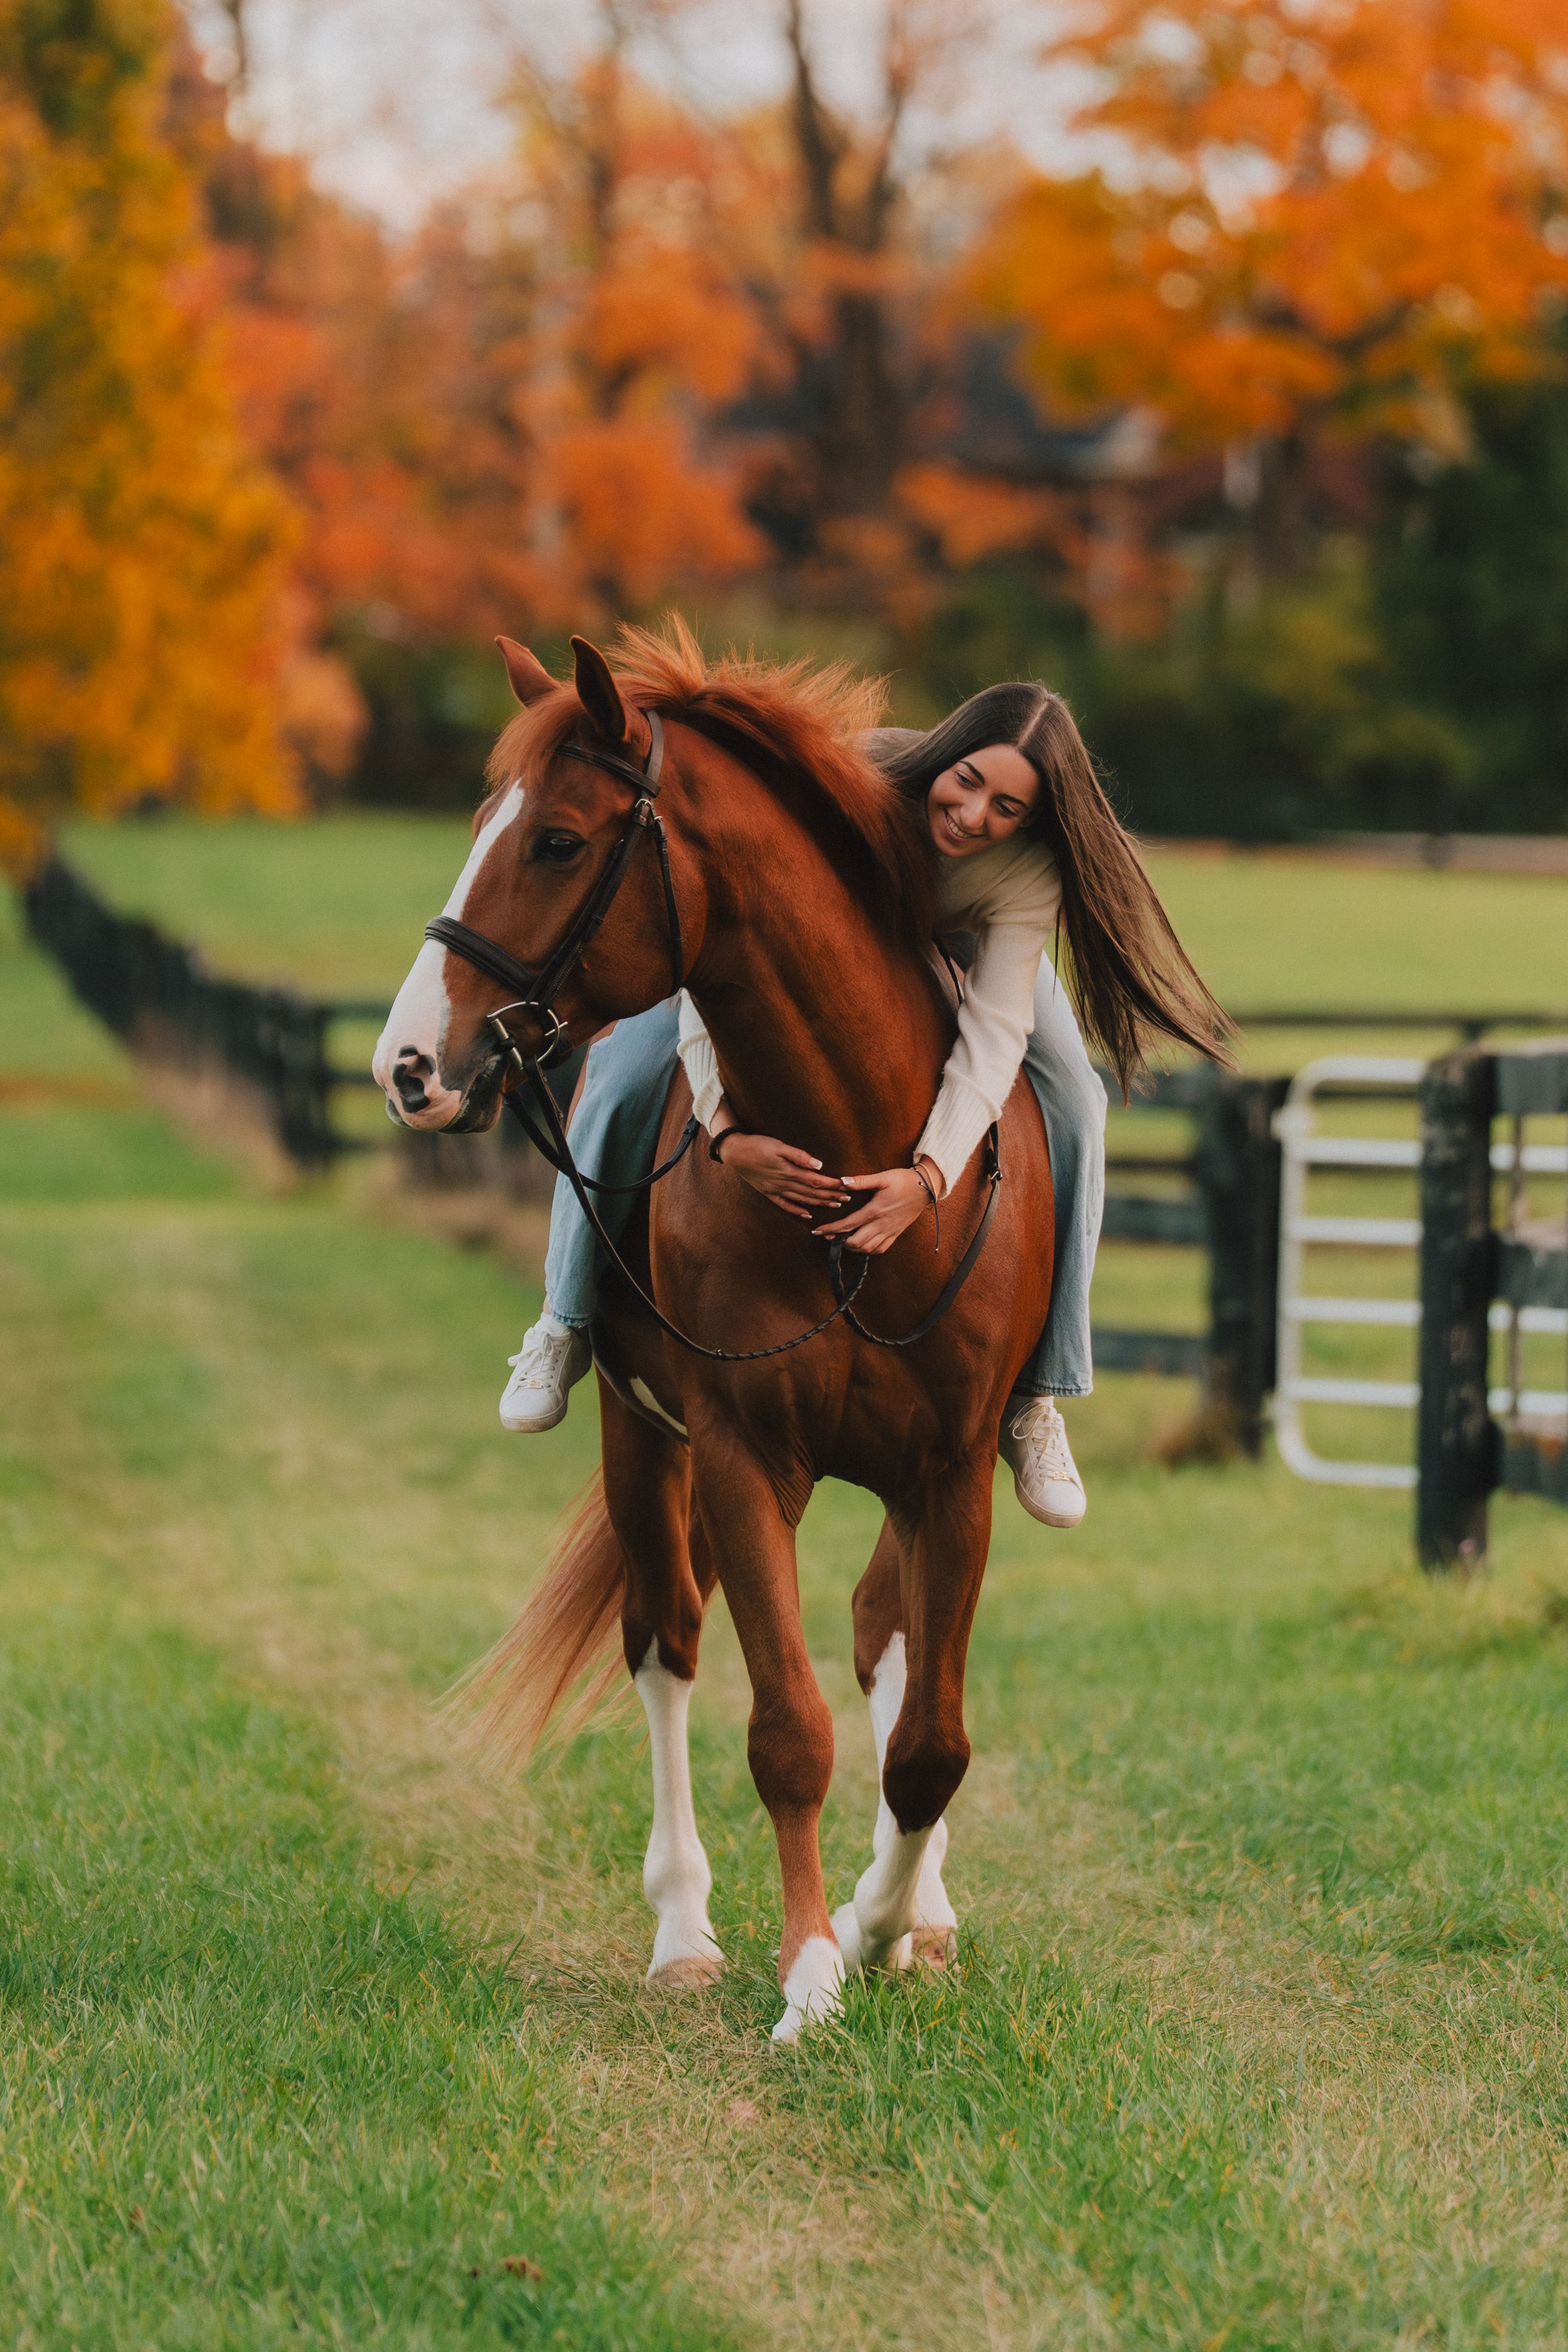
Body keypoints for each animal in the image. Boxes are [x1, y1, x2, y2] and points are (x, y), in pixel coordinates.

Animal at [373, 624, 1053, 2043]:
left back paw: (920, 1912)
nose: (407, 1066)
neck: (853, 1151)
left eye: (557, 842)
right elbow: (786, 1730)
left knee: (882, 1636)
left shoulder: (953, 1473)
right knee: (666, 1640)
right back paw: (684, 1932)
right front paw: (812, 1973)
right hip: (647, 1444)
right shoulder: (743, 1456)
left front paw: (881, 1924)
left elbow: (930, 1745)